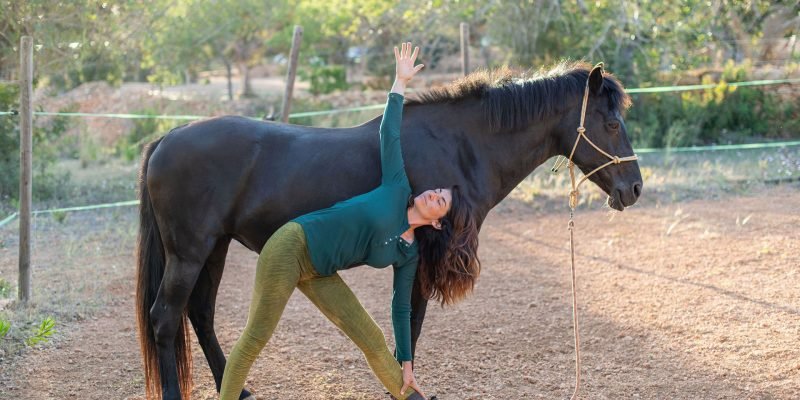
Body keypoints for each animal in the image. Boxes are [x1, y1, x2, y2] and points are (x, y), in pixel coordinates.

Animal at [136, 62, 643, 399]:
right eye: (611, 122)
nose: (634, 188)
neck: (460, 146)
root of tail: (166, 138)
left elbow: (409, 323)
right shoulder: (426, 252)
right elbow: (412, 321)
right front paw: (406, 386)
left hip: (213, 248)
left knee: (199, 314)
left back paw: (235, 387)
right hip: (189, 253)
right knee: (165, 317)